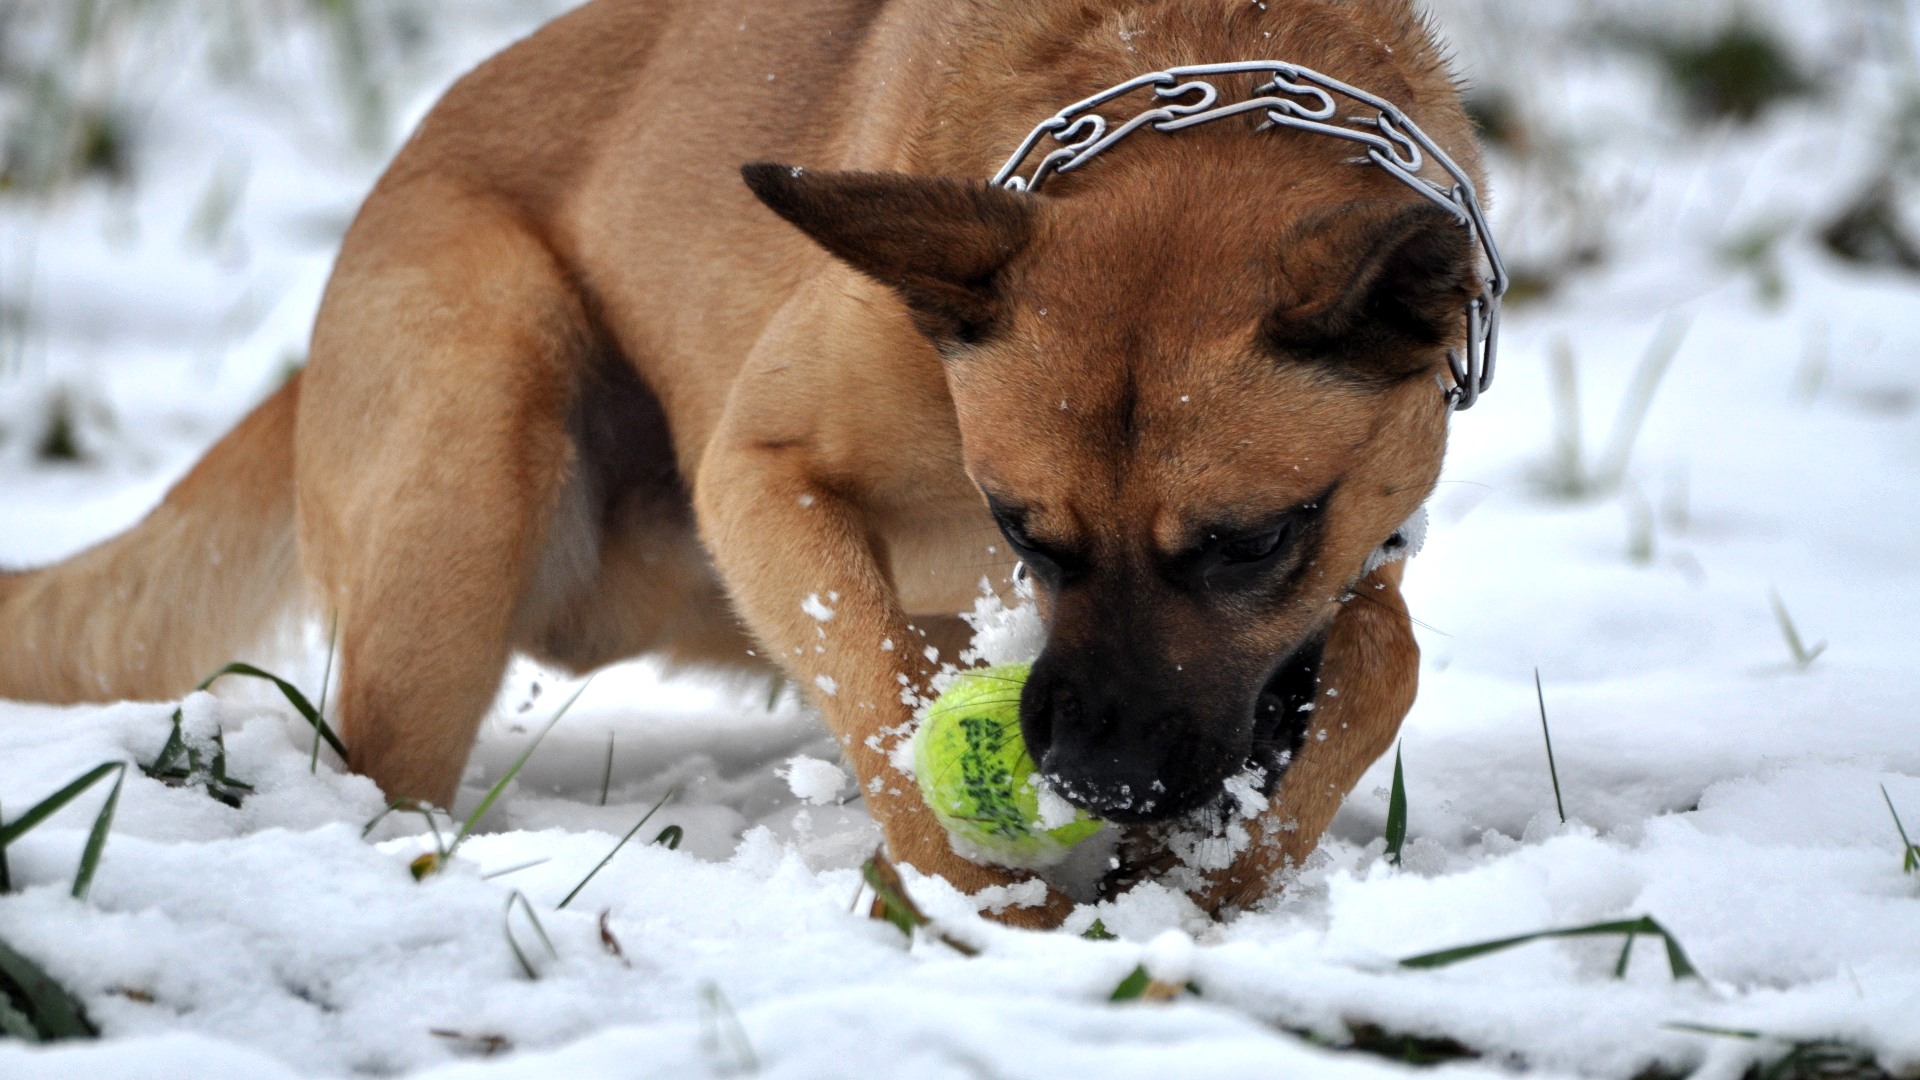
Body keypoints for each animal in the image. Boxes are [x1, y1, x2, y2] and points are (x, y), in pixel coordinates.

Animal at [0, 0, 1482, 926]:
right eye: (1020, 529)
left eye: (1256, 540)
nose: (1095, 778)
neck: (1201, 53)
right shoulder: (761, 475)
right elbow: (877, 685)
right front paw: (987, 914)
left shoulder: (1362, 544)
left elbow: (1384, 662)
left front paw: (1211, 878)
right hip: (479, 451)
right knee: (383, 767)